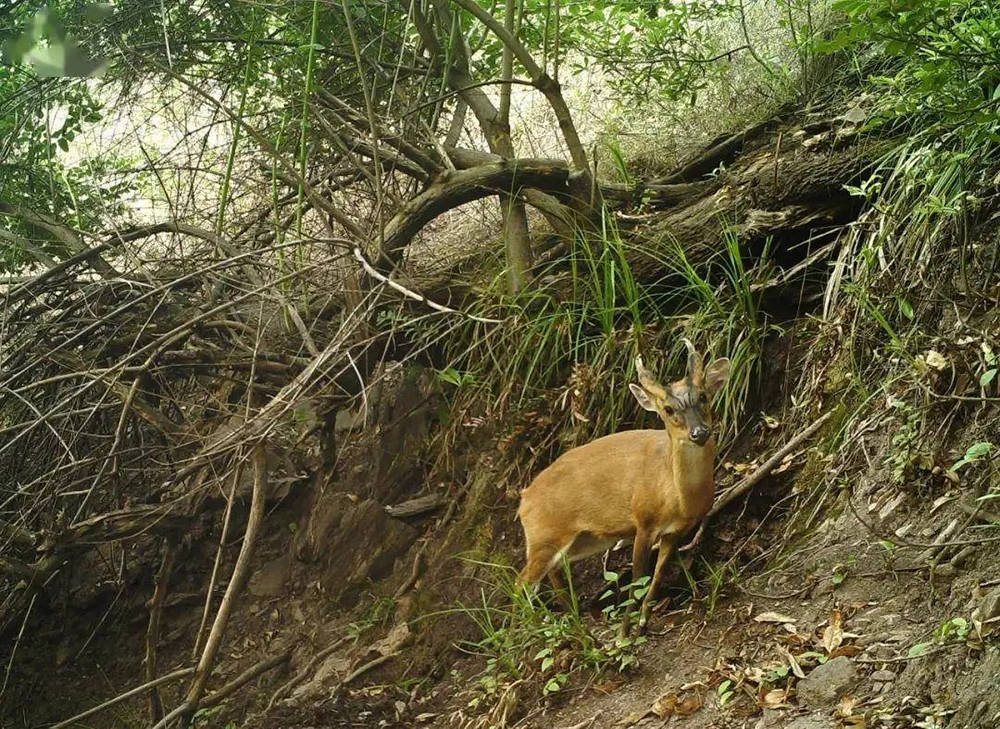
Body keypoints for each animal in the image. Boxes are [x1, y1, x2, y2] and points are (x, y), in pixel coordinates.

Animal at [520, 342, 732, 632]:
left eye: (703, 396)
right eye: (668, 409)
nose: (699, 432)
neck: (677, 498)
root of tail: (524, 498)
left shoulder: (676, 532)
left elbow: (657, 576)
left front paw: (642, 622)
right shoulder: (643, 521)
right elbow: (637, 579)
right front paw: (624, 632)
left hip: (580, 540)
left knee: (552, 573)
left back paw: (572, 621)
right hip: (543, 536)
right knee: (521, 582)